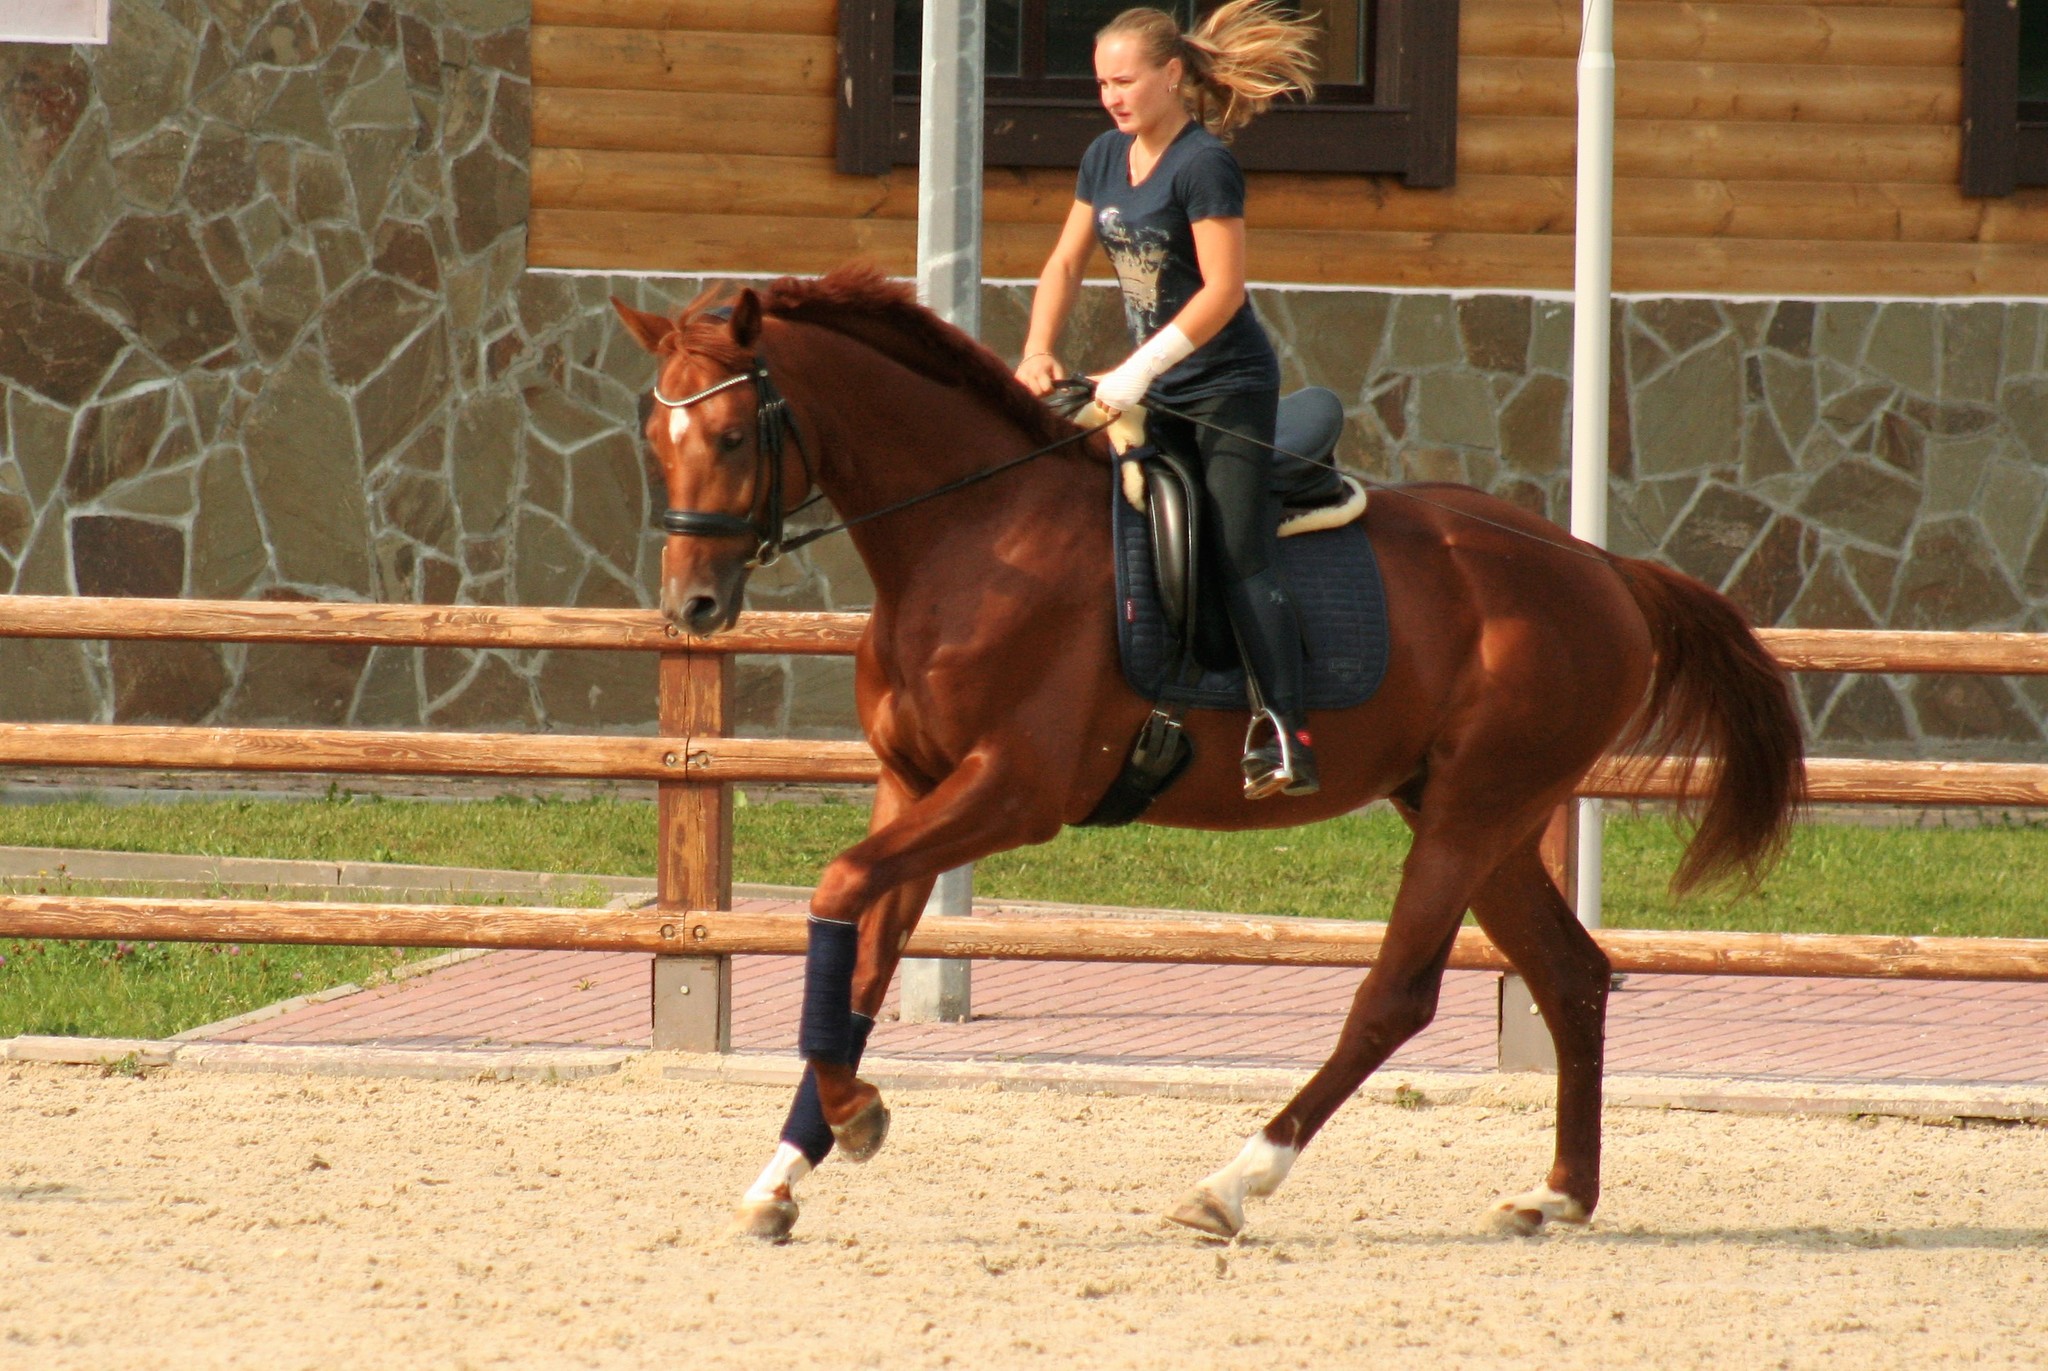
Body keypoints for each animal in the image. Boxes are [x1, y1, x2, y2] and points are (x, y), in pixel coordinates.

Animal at [610, 264, 1810, 1237]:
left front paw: (852, 1118)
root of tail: (1602, 568)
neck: (972, 536)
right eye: (654, 443)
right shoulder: (912, 788)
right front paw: (787, 1170)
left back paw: (1235, 1183)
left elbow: (836, 892)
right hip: (1479, 815)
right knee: (1571, 975)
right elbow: (857, 958)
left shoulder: (1011, 791)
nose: (692, 606)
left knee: (1396, 998)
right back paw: (1558, 1193)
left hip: (1474, 811)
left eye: (730, 438)